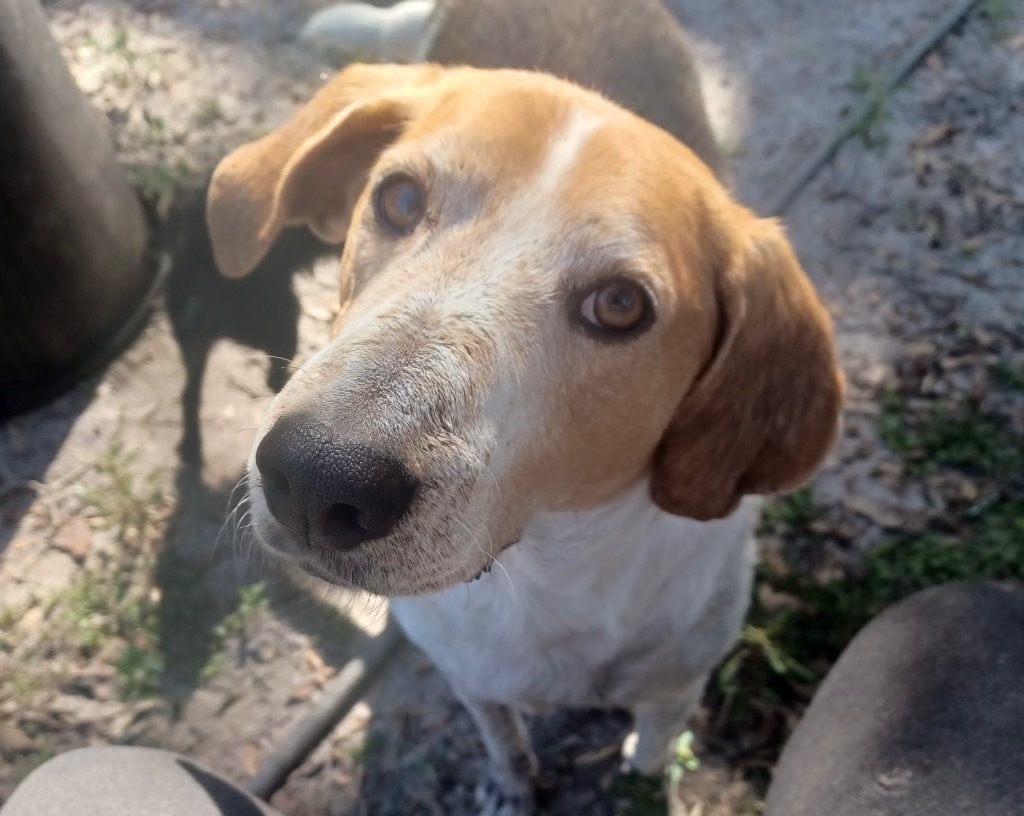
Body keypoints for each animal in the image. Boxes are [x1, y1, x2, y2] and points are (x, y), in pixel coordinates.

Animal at [205, 3, 839, 810]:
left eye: (620, 305)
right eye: (398, 199)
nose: (317, 476)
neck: (547, 569)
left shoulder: (677, 689)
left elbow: (649, 756)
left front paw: (636, 782)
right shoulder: (473, 681)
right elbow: (505, 745)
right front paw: (511, 788)